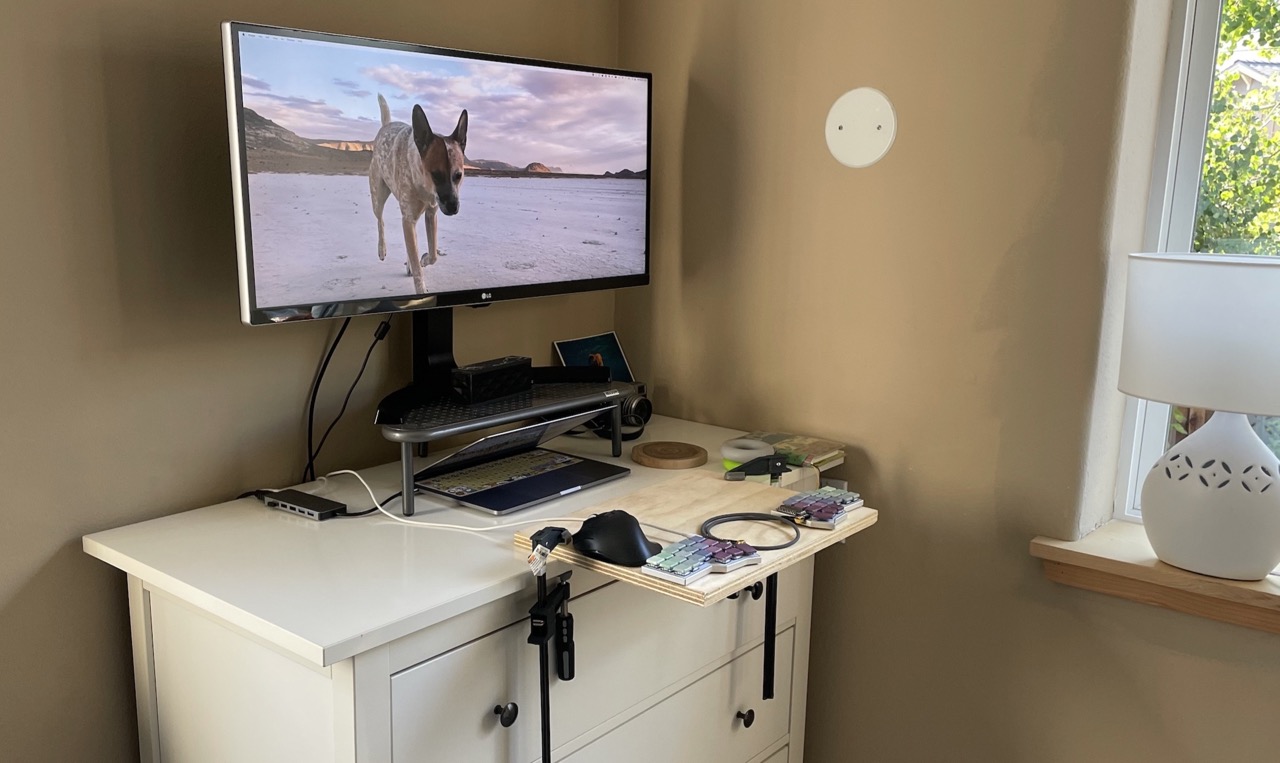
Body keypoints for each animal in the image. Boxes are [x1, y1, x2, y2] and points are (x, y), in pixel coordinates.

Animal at [368, 93, 468, 294]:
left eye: (458, 175)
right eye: (436, 174)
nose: (453, 207)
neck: (425, 187)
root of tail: (385, 125)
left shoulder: (431, 214)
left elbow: (432, 253)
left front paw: (423, 259)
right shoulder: (408, 218)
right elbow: (418, 270)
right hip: (378, 195)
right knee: (380, 219)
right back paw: (382, 249)